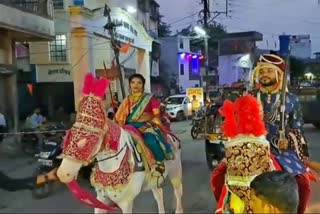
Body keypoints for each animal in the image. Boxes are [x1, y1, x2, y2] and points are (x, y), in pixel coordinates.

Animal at [56, 95, 184, 214]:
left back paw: (178, 210)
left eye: (88, 140)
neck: (112, 165)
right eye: (69, 135)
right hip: (153, 180)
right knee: (159, 194)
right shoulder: (101, 199)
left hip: (175, 170)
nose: (62, 174)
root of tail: (169, 134)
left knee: (178, 191)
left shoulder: (126, 202)